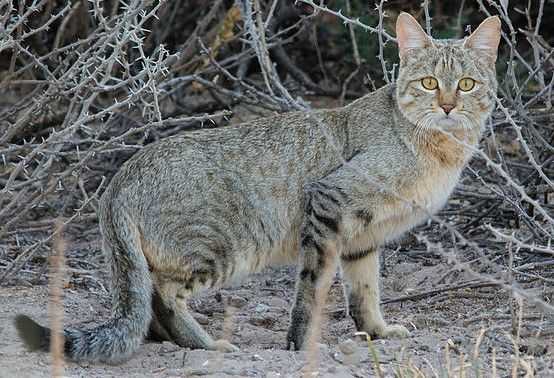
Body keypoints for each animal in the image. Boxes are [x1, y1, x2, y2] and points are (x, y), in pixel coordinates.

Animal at [16, 12, 500, 364]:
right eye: (429, 83)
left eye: (467, 84)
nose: (448, 105)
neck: (440, 152)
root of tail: (120, 176)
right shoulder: (329, 202)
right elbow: (312, 290)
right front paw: (301, 345)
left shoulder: (364, 238)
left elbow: (364, 292)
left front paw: (376, 332)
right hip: (219, 246)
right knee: (163, 295)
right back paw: (206, 346)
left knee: (147, 304)